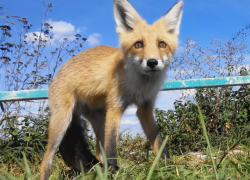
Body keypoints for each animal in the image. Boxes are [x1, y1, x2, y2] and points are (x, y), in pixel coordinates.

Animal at [40, 0, 183, 179]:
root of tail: (59, 71)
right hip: (63, 121)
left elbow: (158, 143)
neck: (139, 86)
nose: (152, 62)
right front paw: (113, 172)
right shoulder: (115, 107)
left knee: (99, 154)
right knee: (47, 159)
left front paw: (167, 167)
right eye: (138, 44)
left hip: (99, 119)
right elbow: (112, 147)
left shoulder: (145, 108)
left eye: (162, 44)